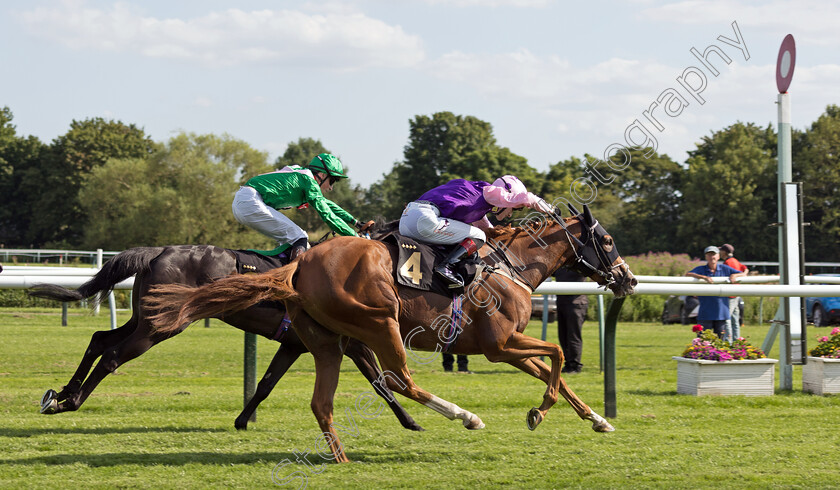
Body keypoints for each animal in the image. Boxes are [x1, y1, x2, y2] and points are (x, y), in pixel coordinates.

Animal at [27, 243, 420, 430]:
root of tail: (157, 251)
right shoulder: (353, 344)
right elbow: (383, 384)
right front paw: (412, 421)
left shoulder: (293, 344)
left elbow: (265, 383)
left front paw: (242, 421)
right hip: (160, 327)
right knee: (111, 356)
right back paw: (71, 401)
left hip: (145, 318)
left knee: (99, 339)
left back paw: (61, 394)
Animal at [146, 204, 636, 464]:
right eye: (608, 240)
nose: (628, 279)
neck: (508, 266)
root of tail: (300, 265)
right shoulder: (498, 345)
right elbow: (557, 354)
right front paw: (537, 412)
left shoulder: (509, 347)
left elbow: (556, 372)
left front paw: (598, 419)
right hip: (381, 323)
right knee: (400, 379)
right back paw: (465, 415)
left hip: (326, 342)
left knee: (323, 402)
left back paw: (341, 457)